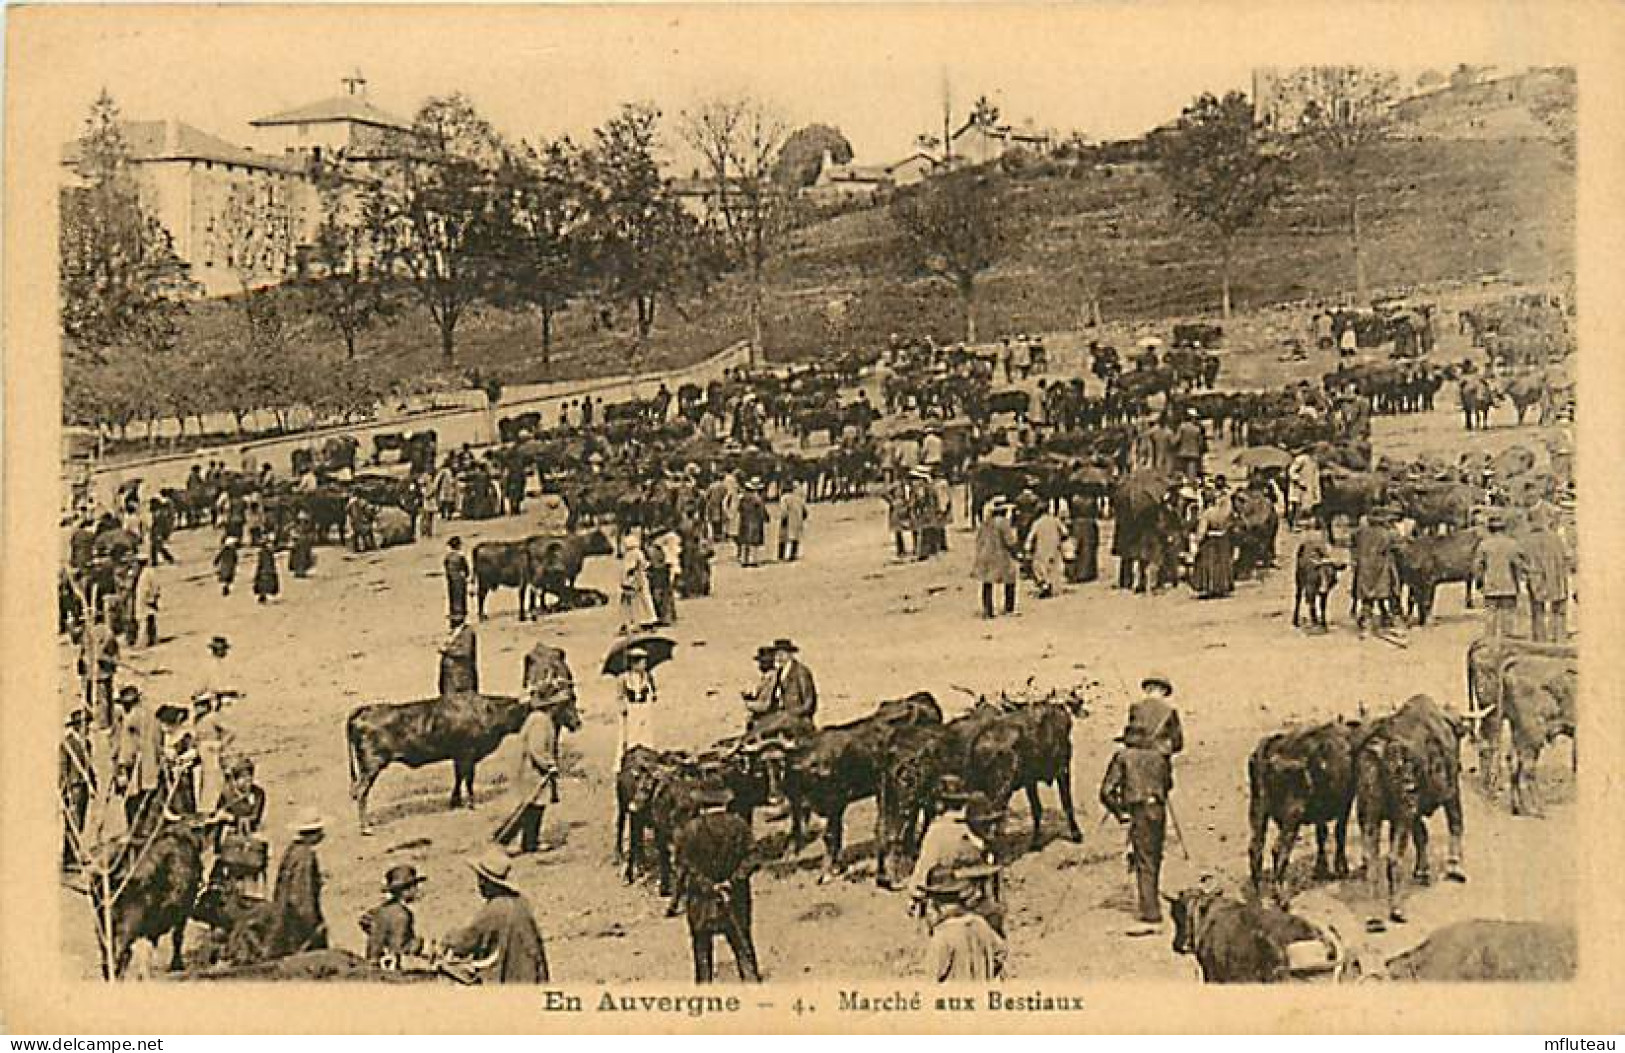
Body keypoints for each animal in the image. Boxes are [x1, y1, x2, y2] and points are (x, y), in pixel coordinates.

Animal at [346, 637, 581, 832]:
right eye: (564, 702)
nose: (577, 723)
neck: (487, 711)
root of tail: (364, 710)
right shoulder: (468, 752)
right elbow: (468, 778)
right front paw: (470, 803)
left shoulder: (460, 754)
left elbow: (459, 777)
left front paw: (456, 801)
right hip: (371, 765)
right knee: (361, 791)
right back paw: (366, 826)